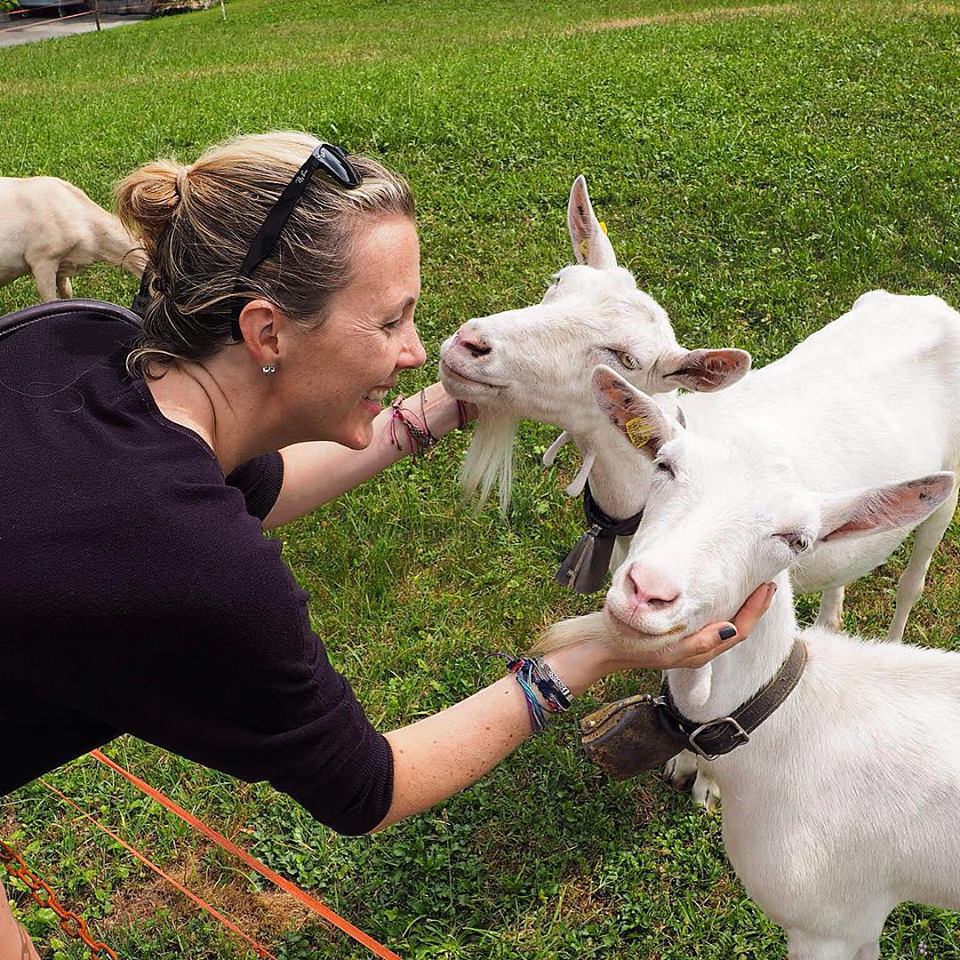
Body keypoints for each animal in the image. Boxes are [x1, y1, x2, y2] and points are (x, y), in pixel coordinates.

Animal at [440, 172, 960, 804]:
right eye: (558, 282)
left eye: (624, 356)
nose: (469, 345)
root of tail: (932, 304)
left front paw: (704, 779)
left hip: (946, 493)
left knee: (913, 578)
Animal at [540, 364, 960, 956]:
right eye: (664, 466)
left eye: (795, 540)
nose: (648, 591)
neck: (782, 722)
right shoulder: (858, 920)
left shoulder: (825, 922)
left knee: (911, 580)